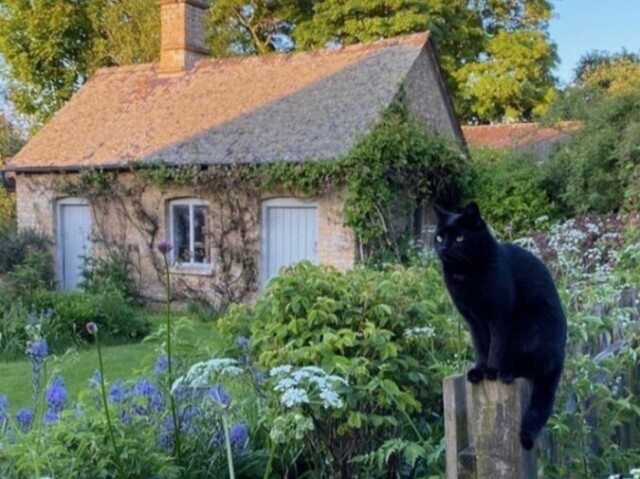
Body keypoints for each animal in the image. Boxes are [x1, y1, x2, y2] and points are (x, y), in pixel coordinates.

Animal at [436, 202, 564, 450]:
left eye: (459, 237)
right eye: (439, 237)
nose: (443, 247)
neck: (465, 275)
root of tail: (562, 355)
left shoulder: (499, 316)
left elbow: (496, 346)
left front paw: (491, 371)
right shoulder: (474, 321)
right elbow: (480, 347)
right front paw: (479, 370)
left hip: (532, 327)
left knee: (535, 367)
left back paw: (506, 372)